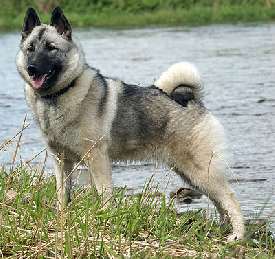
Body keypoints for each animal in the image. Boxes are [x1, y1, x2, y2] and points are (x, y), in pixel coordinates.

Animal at [16, 7, 246, 243]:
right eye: (30, 49)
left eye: (51, 48)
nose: (32, 68)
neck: (59, 95)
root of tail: (191, 99)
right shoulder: (61, 162)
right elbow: (63, 194)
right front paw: (62, 220)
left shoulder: (97, 159)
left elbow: (104, 194)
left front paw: (104, 221)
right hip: (190, 174)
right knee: (219, 202)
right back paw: (222, 229)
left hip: (200, 171)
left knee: (230, 198)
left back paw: (237, 235)